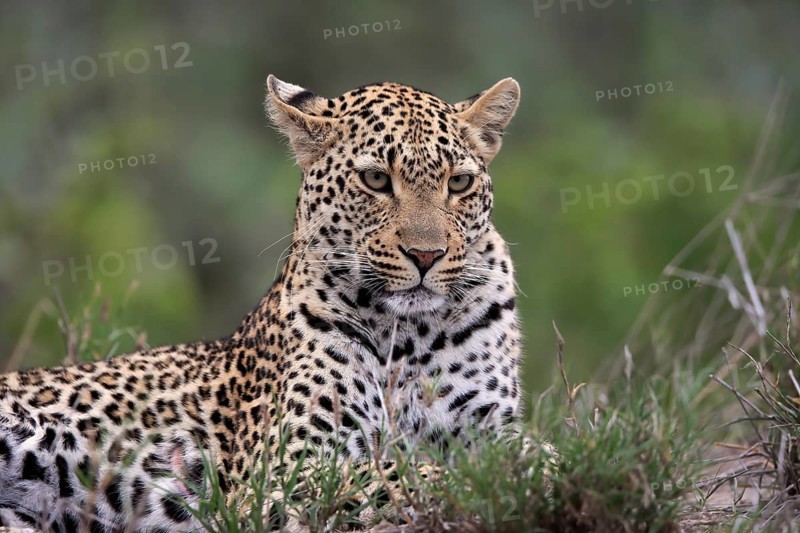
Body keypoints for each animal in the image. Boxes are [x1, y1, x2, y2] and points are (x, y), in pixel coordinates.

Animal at [0, 74, 525, 531]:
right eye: (376, 180)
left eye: (459, 184)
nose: (426, 255)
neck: (411, 334)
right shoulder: (292, 466)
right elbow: (409, 473)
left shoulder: (493, 426)